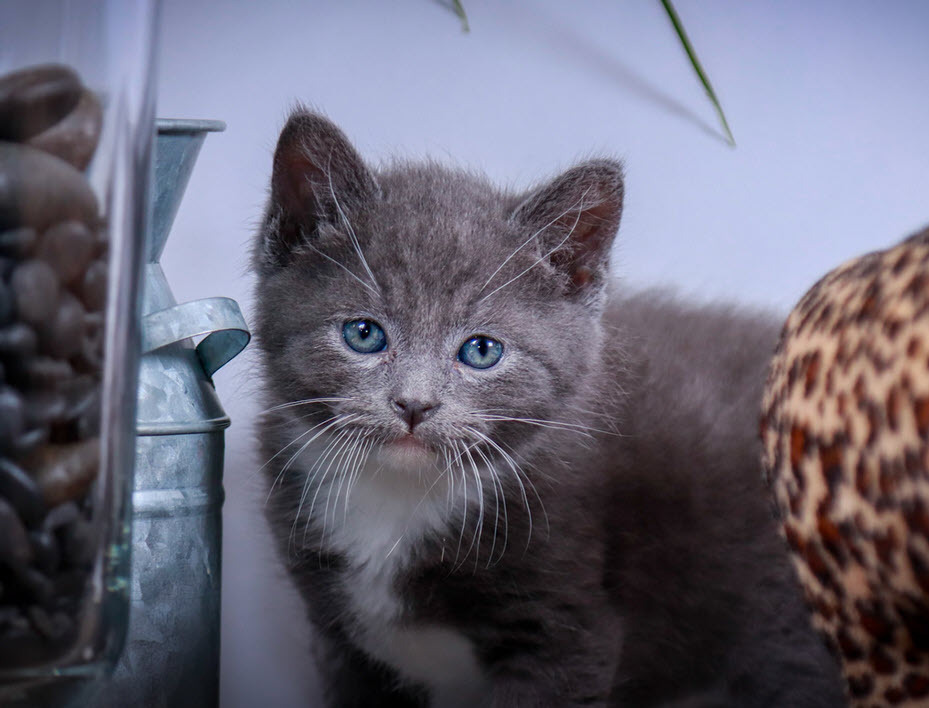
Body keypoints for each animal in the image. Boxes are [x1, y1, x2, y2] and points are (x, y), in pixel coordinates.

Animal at [250, 108, 844, 704]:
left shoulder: (567, 625)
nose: (414, 404)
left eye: (481, 351)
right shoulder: (340, 637)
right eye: (364, 334)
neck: (399, 498)